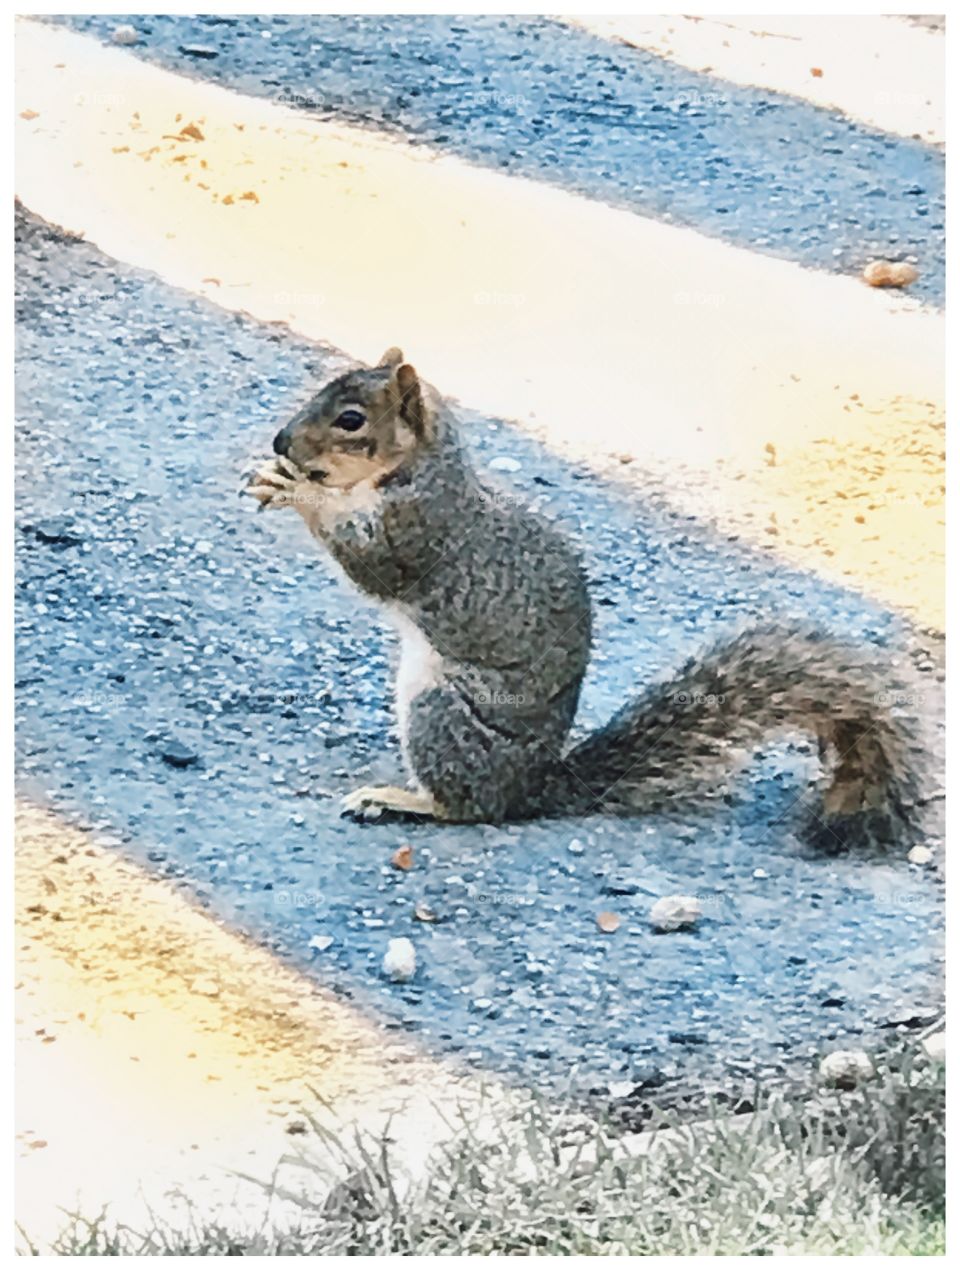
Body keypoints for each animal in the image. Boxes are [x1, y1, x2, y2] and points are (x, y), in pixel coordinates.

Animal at [247, 348, 925, 849]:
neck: (424, 468)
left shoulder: (419, 532)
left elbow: (370, 563)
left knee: (466, 807)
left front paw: (298, 493)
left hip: (440, 711)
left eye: (351, 420)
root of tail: (531, 790)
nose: (281, 443)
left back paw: (401, 799)